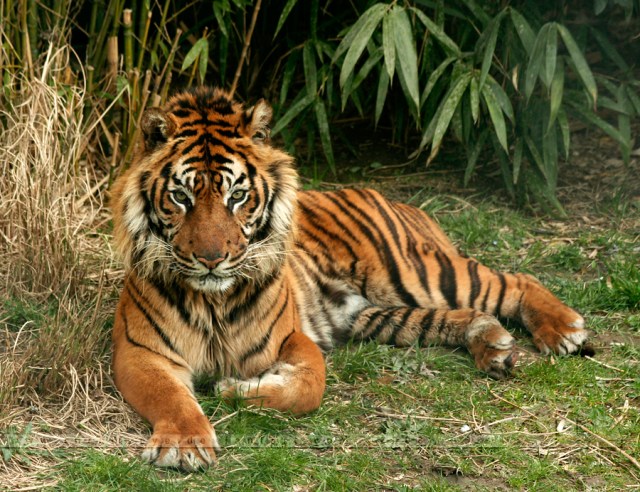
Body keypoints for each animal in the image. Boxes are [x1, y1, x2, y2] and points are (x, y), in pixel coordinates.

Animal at [110, 86, 589, 471]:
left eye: (238, 196)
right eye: (180, 197)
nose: (211, 259)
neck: (213, 299)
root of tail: (389, 197)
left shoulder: (290, 338)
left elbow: (308, 386)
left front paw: (237, 388)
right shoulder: (140, 352)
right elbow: (170, 396)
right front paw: (184, 445)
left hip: (421, 275)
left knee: (515, 279)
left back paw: (564, 329)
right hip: (380, 315)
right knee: (457, 317)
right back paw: (494, 346)